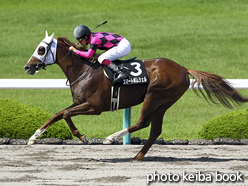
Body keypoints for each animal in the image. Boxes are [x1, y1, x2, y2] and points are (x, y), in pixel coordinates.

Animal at [23, 32, 248, 160]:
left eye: (41, 49)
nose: (27, 67)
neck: (83, 71)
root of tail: (183, 68)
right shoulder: (80, 103)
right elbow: (59, 114)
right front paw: (35, 137)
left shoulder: (94, 107)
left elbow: (64, 114)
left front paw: (81, 136)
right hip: (164, 103)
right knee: (155, 130)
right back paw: (138, 156)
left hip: (154, 95)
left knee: (142, 123)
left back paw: (111, 138)